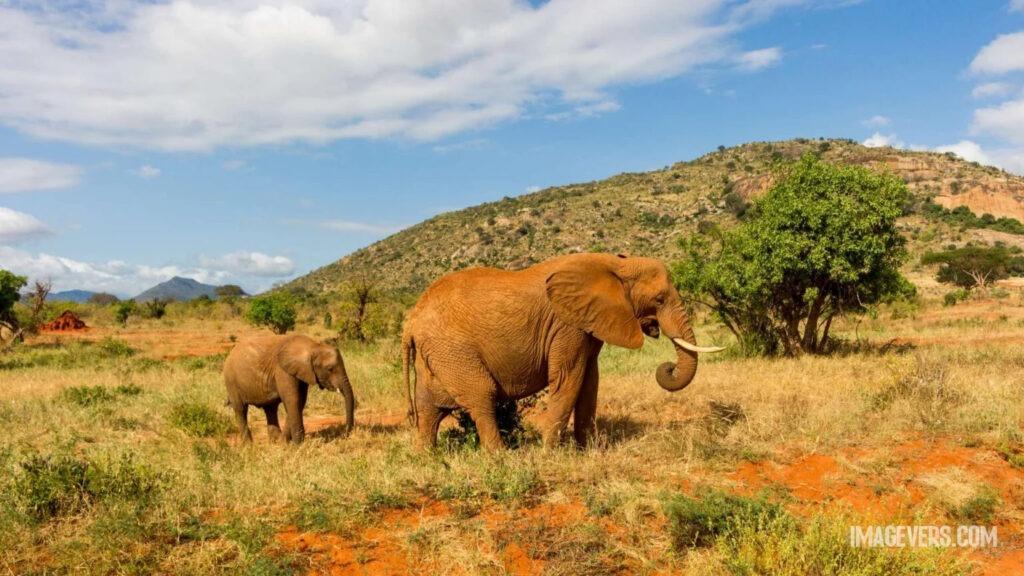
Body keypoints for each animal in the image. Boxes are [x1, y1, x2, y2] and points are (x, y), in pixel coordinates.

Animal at [223, 334, 355, 444]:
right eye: (330, 369)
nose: (345, 434)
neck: (311, 346)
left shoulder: (302, 372)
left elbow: (299, 402)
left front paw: (285, 442)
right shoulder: (282, 371)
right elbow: (293, 400)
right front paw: (298, 445)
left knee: (270, 409)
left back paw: (275, 442)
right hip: (231, 381)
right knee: (241, 409)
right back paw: (249, 445)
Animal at [401, 252, 723, 451]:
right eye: (659, 299)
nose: (667, 366)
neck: (616, 264)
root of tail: (411, 320)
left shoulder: (589, 324)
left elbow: (590, 383)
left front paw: (589, 450)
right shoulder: (568, 325)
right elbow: (569, 380)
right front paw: (549, 453)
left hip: (438, 353)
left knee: (429, 407)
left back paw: (426, 457)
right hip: (454, 349)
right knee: (482, 397)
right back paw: (501, 457)